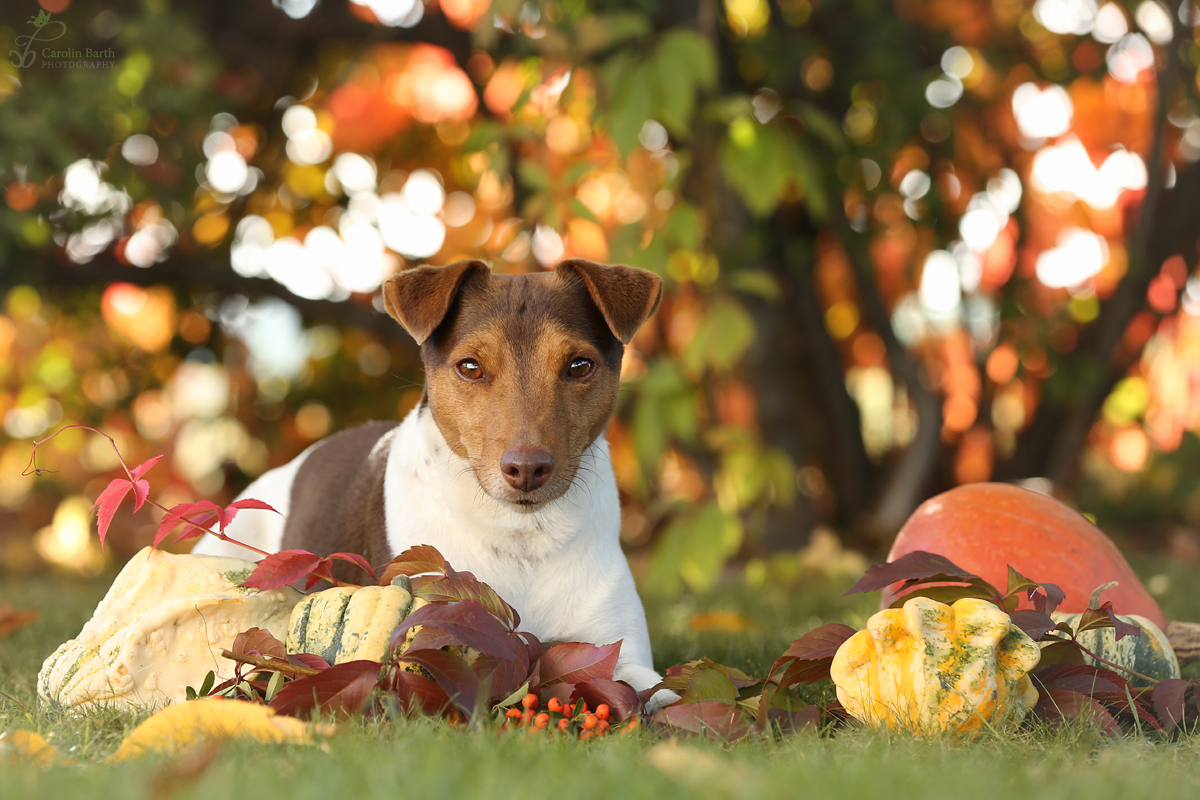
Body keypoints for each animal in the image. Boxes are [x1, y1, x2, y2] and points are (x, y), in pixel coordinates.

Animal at [193, 257, 672, 695]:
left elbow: (657, 694)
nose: (527, 469)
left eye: (579, 366)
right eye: (470, 367)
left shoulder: (621, 654)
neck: (521, 537)